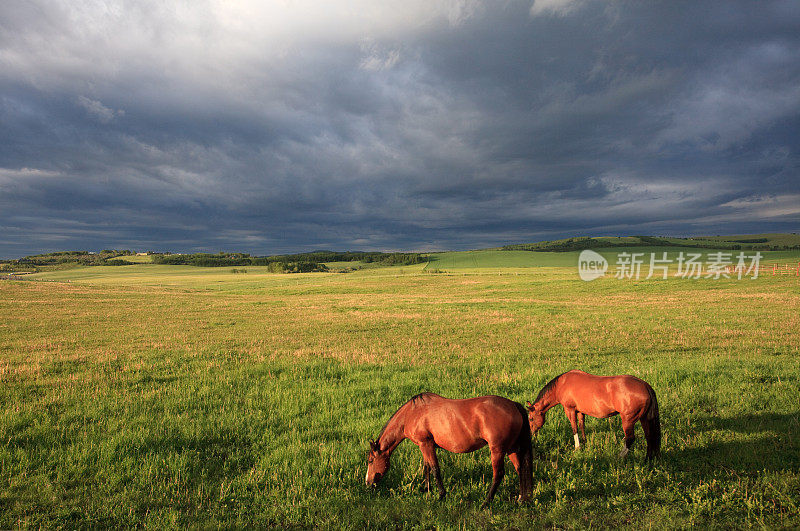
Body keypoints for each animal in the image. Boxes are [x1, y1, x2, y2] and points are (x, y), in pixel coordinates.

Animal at [368, 392, 532, 510]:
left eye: (370, 461)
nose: (368, 483)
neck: (412, 414)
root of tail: (514, 405)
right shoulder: (425, 446)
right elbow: (427, 467)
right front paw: (426, 489)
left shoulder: (426, 444)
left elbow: (435, 469)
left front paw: (441, 495)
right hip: (511, 448)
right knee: (521, 469)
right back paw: (522, 499)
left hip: (497, 450)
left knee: (498, 474)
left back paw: (486, 503)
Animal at [524, 370, 664, 462]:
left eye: (530, 418)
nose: (530, 433)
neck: (562, 384)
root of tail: (645, 385)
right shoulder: (580, 411)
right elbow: (582, 426)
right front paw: (585, 443)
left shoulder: (569, 410)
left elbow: (574, 428)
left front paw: (577, 447)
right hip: (644, 418)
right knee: (649, 436)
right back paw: (647, 458)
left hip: (628, 420)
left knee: (630, 438)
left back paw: (619, 457)